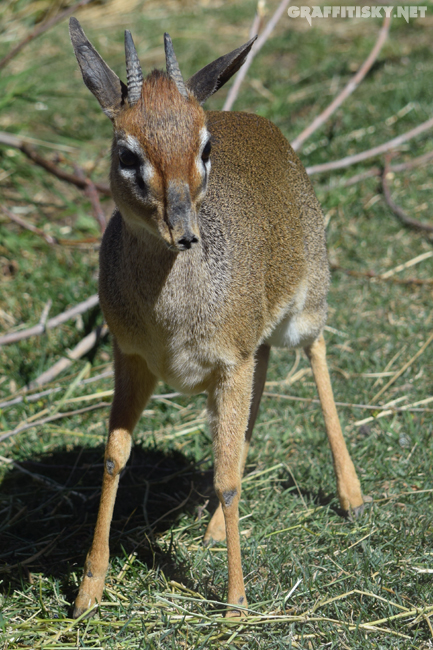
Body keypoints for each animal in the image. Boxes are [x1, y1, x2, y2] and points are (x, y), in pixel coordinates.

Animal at [69, 17, 365, 618]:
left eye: (204, 146)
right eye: (127, 153)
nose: (184, 231)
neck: (172, 314)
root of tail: (262, 124)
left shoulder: (229, 364)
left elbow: (225, 477)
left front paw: (235, 603)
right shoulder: (133, 359)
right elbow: (114, 457)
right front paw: (88, 590)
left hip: (304, 310)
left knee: (317, 352)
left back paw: (351, 496)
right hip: (252, 349)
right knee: (263, 381)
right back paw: (209, 530)